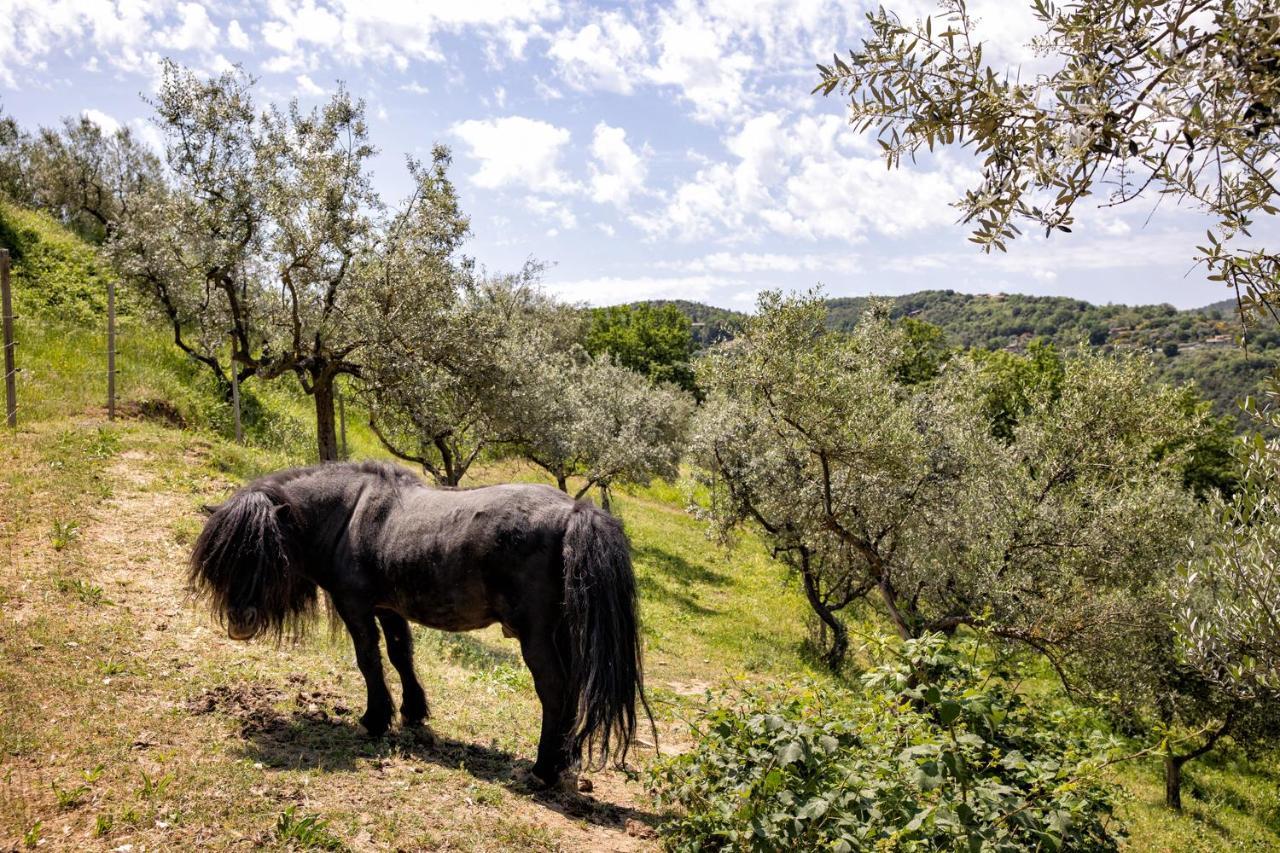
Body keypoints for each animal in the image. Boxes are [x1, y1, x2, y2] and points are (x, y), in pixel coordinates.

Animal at [189, 458, 650, 783]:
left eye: (271, 556)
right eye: (226, 559)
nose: (239, 622)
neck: (349, 517)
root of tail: (575, 512)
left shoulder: (355, 607)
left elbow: (369, 660)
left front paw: (375, 719)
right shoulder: (390, 609)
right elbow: (401, 656)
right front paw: (413, 711)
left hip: (536, 636)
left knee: (554, 690)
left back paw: (543, 769)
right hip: (564, 632)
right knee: (573, 690)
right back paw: (564, 757)